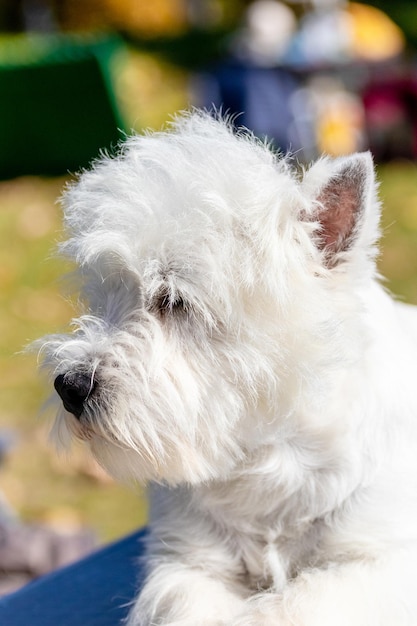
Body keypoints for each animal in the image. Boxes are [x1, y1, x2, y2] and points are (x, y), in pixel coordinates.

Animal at [37, 112, 416, 624]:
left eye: (174, 300)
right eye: (104, 293)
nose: (70, 386)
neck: (262, 460)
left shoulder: (377, 561)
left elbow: (290, 604)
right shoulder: (191, 563)